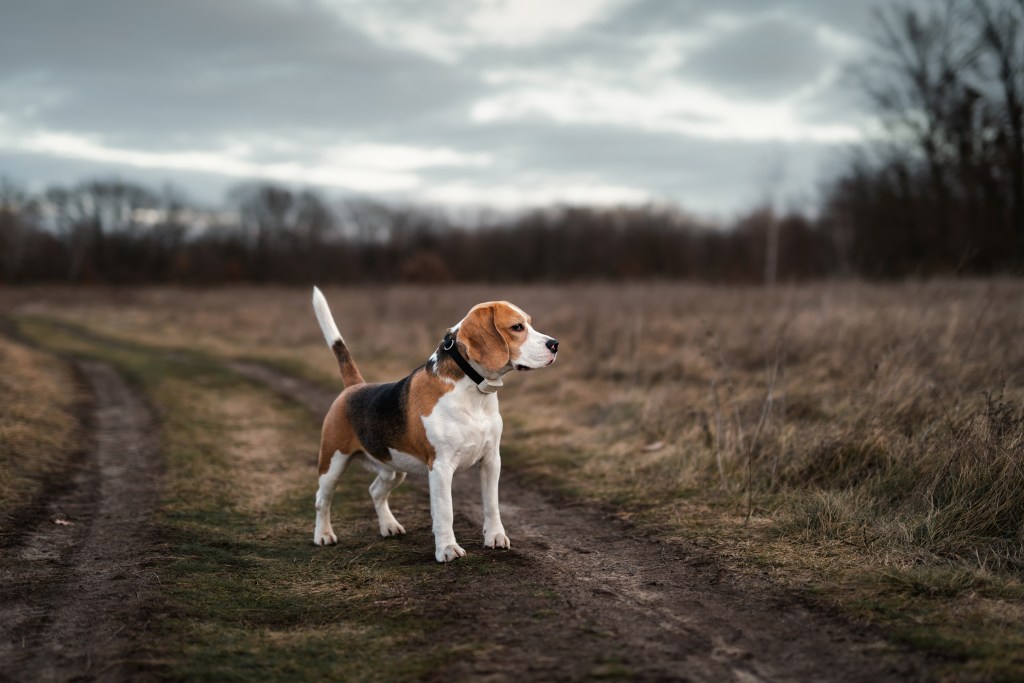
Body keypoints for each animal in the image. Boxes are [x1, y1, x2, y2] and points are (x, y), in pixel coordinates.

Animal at [309, 286, 561, 565]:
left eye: (530, 323)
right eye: (517, 327)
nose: (555, 344)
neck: (474, 391)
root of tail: (355, 387)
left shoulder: (491, 460)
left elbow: (492, 504)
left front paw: (495, 537)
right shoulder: (441, 467)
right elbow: (445, 512)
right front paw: (448, 549)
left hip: (393, 468)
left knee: (375, 491)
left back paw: (389, 526)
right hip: (333, 462)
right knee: (322, 499)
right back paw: (323, 535)